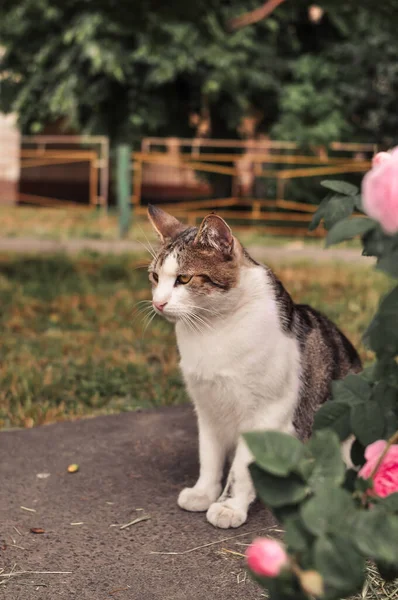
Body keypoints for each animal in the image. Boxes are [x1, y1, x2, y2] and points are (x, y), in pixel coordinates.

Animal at [145, 206, 360, 528]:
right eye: (155, 276)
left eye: (183, 278)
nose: (158, 303)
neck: (212, 329)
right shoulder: (207, 407)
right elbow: (209, 455)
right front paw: (203, 492)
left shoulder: (266, 412)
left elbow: (240, 467)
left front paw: (228, 506)